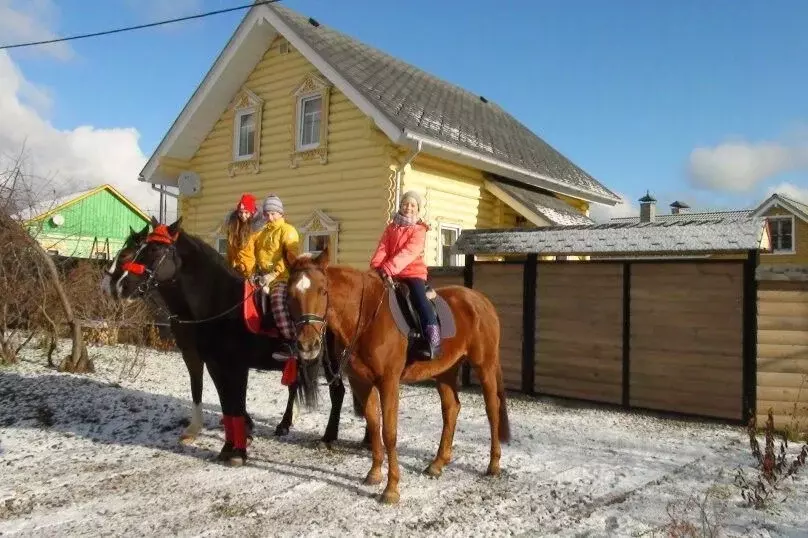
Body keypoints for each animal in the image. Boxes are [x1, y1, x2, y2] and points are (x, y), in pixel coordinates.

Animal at [100, 216, 362, 462]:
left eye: (153, 250)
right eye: (138, 249)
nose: (119, 286)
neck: (221, 304)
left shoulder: (235, 366)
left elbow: (234, 402)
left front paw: (238, 449)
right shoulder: (212, 363)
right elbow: (225, 403)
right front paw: (229, 446)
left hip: (330, 359)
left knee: (337, 392)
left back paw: (327, 437)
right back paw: (288, 424)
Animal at [286, 243, 512, 502]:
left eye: (323, 291)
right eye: (290, 294)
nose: (308, 345)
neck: (366, 318)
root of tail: (480, 300)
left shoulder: (389, 382)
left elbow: (389, 432)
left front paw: (391, 488)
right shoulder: (361, 383)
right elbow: (374, 425)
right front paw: (374, 474)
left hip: (484, 365)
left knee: (492, 409)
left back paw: (493, 464)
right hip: (445, 371)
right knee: (451, 409)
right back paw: (438, 463)